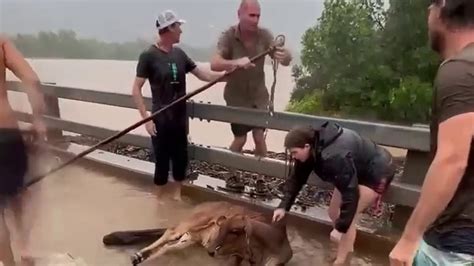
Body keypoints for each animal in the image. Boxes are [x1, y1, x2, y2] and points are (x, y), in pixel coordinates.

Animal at [130, 201, 266, 264]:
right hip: (194, 222)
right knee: (170, 233)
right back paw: (139, 255)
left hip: (191, 236)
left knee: (169, 246)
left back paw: (141, 257)